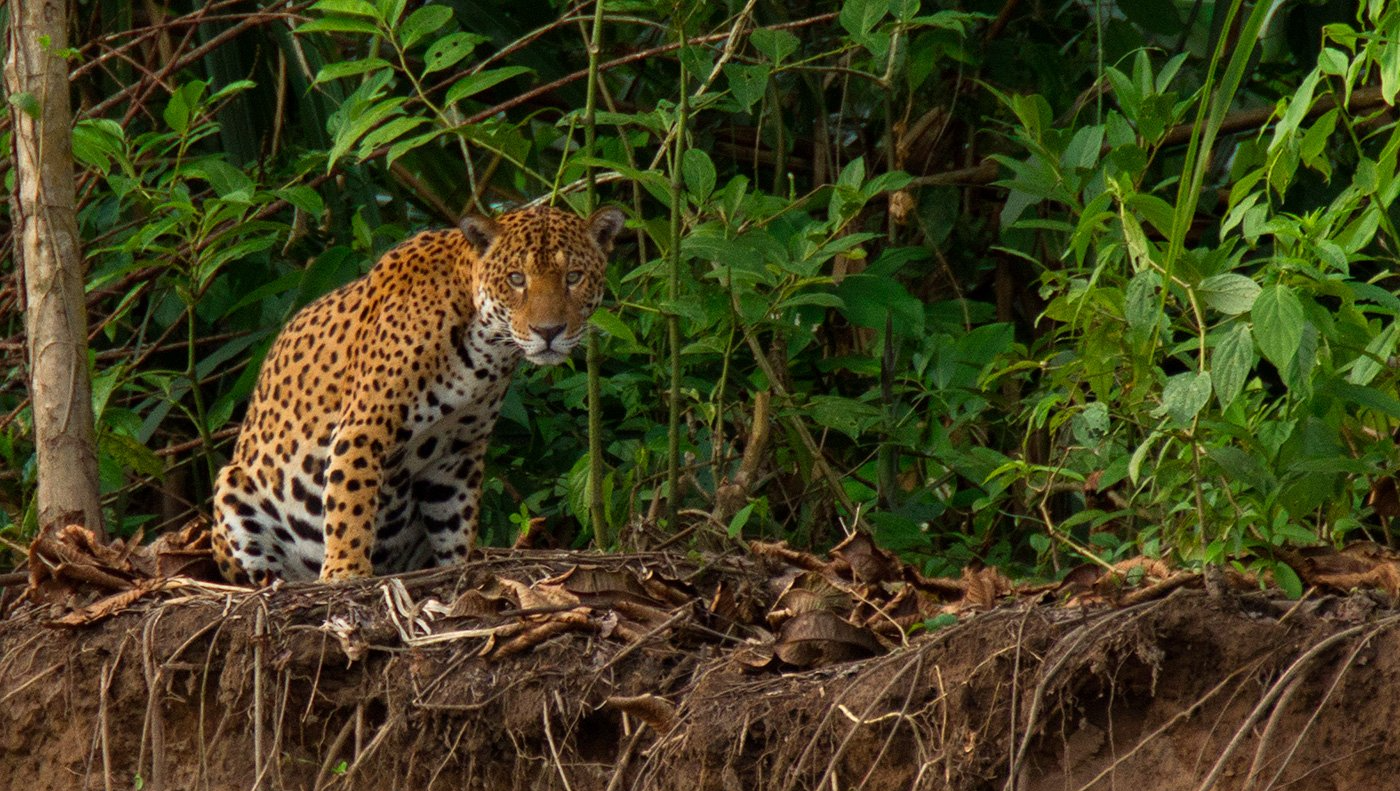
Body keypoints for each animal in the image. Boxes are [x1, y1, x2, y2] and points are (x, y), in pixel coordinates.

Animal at [210, 205, 626, 584]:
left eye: (573, 277)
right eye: (516, 279)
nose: (549, 331)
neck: (483, 350)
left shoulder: (457, 452)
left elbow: (455, 518)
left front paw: (456, 568)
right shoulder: (363, 429)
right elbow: (350, 502)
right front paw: (345, 571)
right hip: (232, 489)